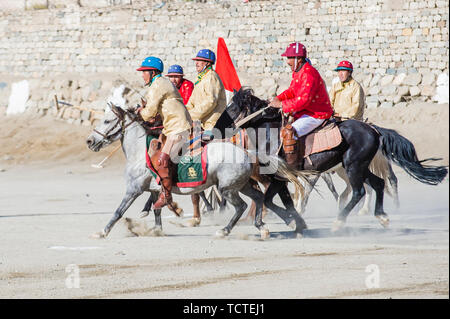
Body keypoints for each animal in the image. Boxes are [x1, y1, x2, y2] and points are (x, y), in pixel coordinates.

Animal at [86, 104, 308, 239]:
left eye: (107, 121)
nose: (89, 141)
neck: (140, 153)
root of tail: (247, 152)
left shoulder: (134, 190)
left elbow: (118, 211)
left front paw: (102, 232)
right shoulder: (156, 191)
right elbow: (157, 209)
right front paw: (157, 230)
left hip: (227, 189)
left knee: (241, 206)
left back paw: (224, 230)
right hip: (242, 185)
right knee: (259, 198)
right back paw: (262, 227)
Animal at [218, 89, 446, 231]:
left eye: (233, 108)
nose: (217, 128)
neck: (270, 134)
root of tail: (373, 129)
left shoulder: (278, 177)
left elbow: (269, 200)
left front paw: (293, 221)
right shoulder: (281, 179)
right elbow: (282, 201)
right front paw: (296, 221)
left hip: (353, 167)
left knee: (360, 191)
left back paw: (339, 221)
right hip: (359, 167)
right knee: (378, 184)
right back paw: (381, 215)